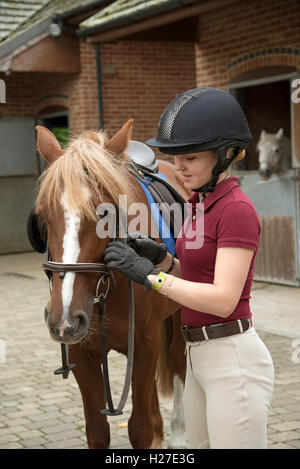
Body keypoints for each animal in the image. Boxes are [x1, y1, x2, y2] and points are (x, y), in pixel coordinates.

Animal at [35, 119, 190, 448]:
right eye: (43, 215)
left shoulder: (145, 344)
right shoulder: (82, 353)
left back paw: (179, 433)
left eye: (105, 214)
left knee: (178, 364)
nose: (64, 317)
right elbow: (97, 430)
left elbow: (140, 428)